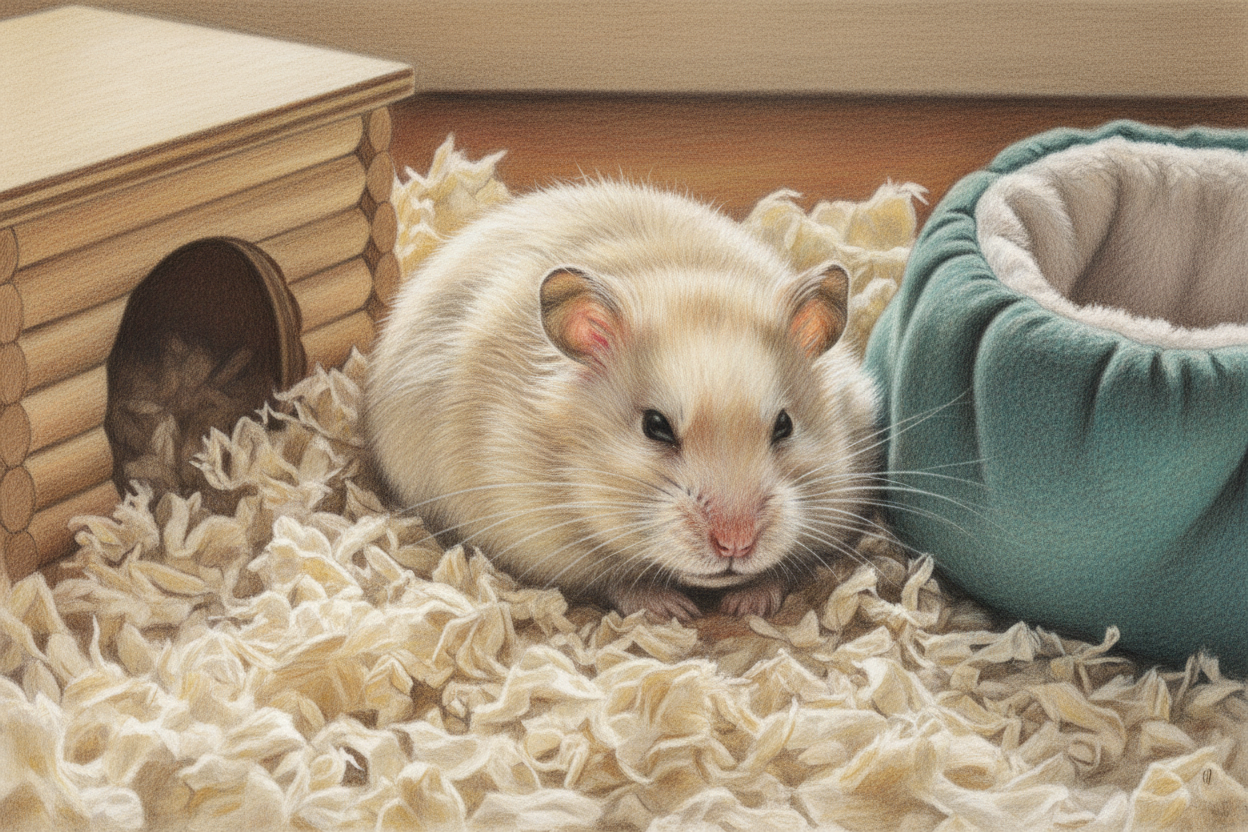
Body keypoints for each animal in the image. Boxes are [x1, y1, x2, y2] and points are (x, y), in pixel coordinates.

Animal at [365, 181, 880, 620]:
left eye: (784, 426)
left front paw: (748, 603)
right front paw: (672, 609)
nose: (735, 545)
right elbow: (613, 578)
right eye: (655, 426)